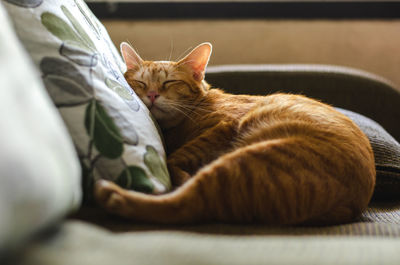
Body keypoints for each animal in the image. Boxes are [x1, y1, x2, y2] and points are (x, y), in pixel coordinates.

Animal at [94, 42, 376, 224]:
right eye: (140, 83)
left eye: (170, 82)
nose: (152, 95)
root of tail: (352, 204)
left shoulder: (224, 125)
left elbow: (174, 158)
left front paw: (180, 172)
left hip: (247, 161)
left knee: (184, 205)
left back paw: (114, 194)